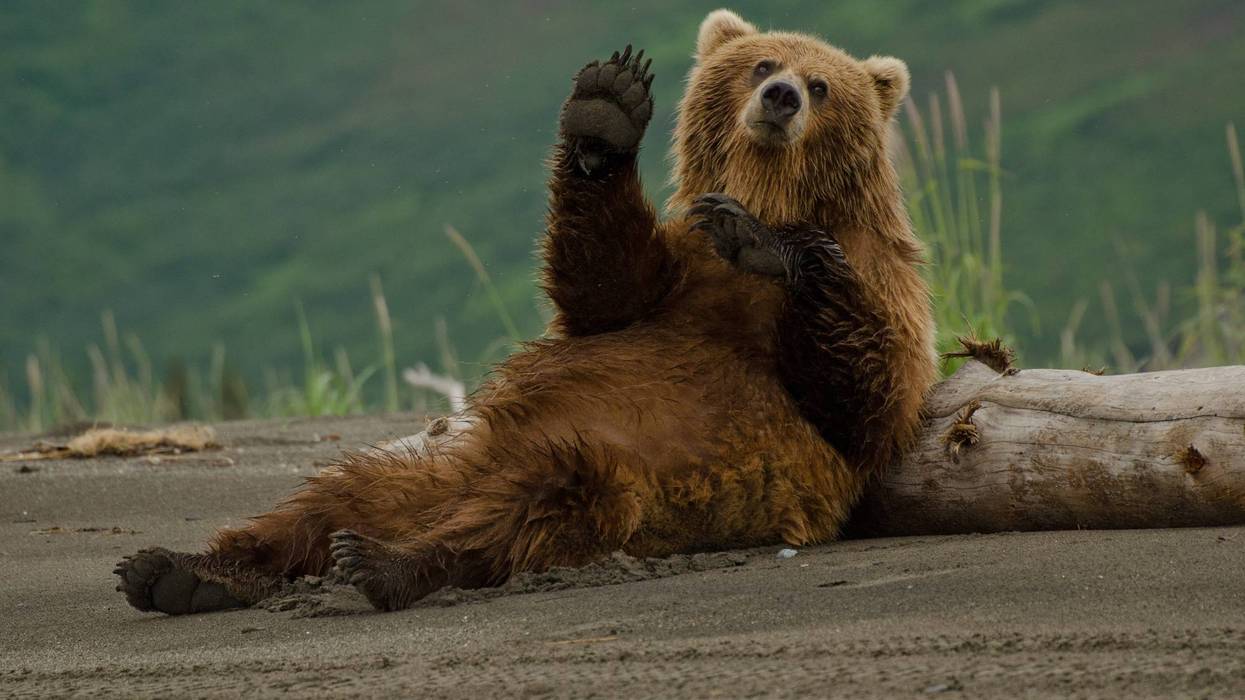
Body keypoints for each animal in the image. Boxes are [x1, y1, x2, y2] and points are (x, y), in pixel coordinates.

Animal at [114, 9, 937, 614]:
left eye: (822, 83)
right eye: (762, 64)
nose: (781, 98)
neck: (771, 189)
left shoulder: (880, 285)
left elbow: (864, 394)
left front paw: (768, 244)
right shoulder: (673, 278)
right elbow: (603, 283)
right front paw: (607, 110)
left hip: (618, 475)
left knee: (529, 508)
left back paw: (383, 562)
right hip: (430, 466)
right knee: (322, 498)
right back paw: (179, 569)